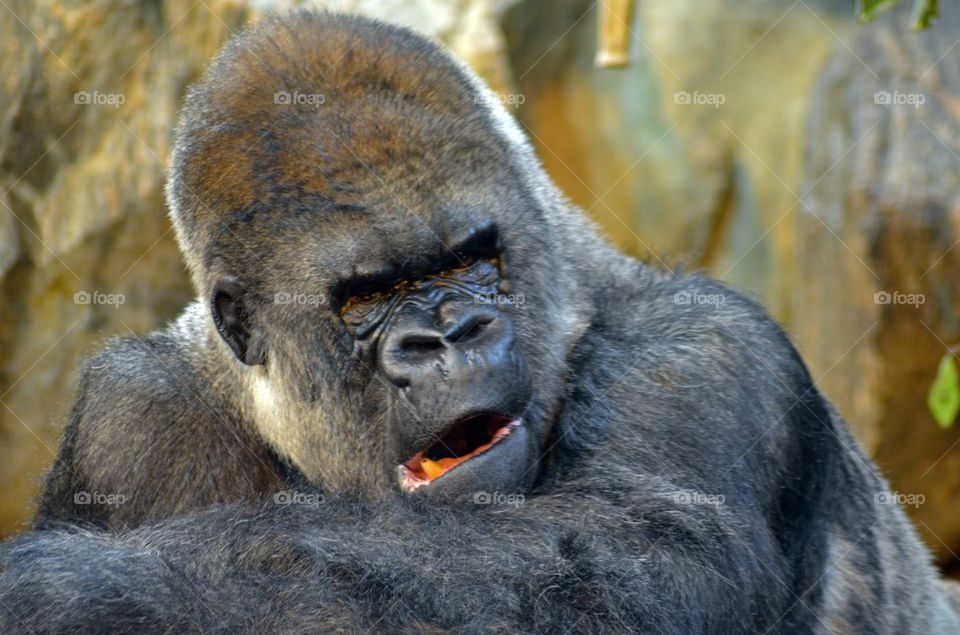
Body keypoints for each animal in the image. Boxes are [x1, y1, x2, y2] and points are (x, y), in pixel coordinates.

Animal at [4, 10, 959, 633]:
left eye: (468, 264)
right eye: (366, 299)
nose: (449, 337)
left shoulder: (707, 355)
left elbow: (628, 569)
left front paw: (71, 595)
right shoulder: (132, 414)